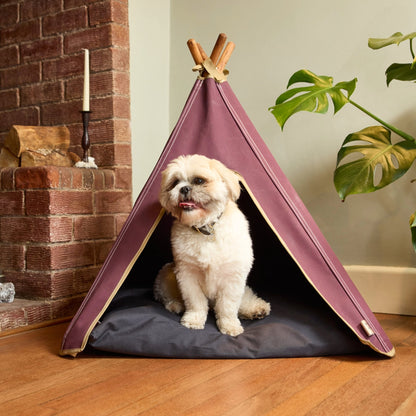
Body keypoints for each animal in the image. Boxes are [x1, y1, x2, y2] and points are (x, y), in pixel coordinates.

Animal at [153, 154, 270, 336]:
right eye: (174, 182)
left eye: (199, 180)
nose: (184, 188)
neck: (205, 228)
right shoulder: (187, 274)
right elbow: (195, 302)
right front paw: (193, 320)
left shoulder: (233, 276)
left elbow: (228, 306)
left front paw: (230, 325)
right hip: (166, 273)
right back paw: (175, 304)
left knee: (245, 297)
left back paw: (255, 309)